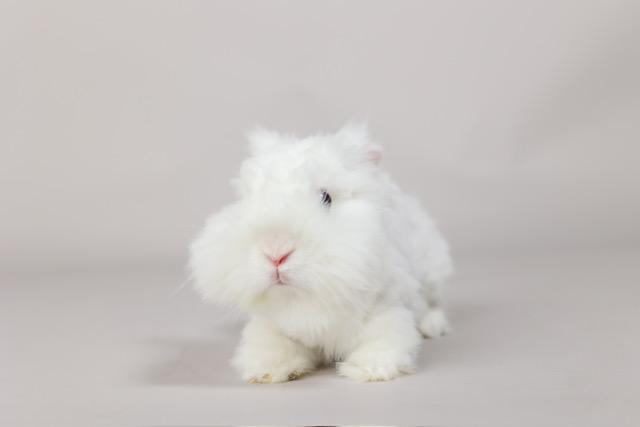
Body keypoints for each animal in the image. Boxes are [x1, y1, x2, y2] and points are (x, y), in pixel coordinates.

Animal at [189, 124, 452, 382]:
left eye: (326, 198)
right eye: (251, 197)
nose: (276, 254)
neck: (304, 302)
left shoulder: (387, 310)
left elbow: (382, 341)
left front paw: (367, 370)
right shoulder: (272, 326)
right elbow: (271, 345)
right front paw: (268, 371)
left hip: (432, 270)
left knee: (433, 303)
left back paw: (432, 327)